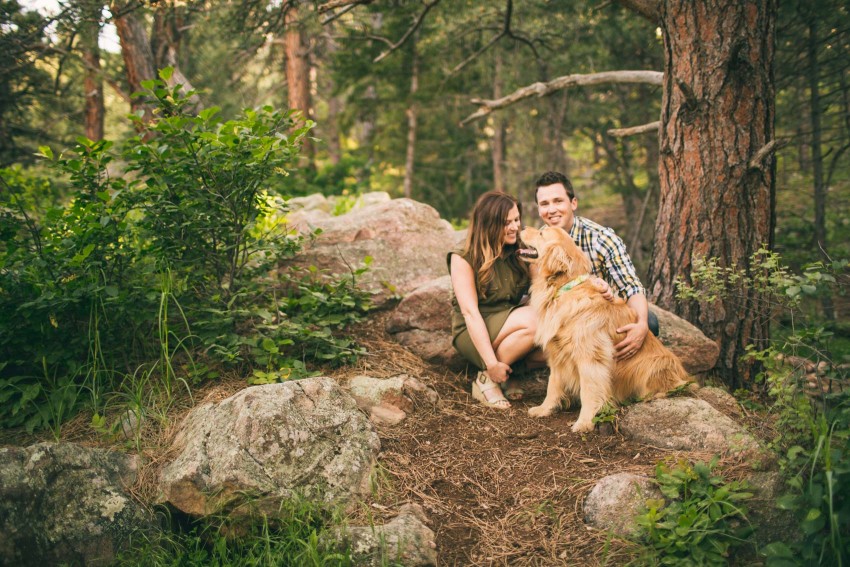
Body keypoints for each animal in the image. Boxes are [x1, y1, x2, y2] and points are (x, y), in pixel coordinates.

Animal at [516, 225, 688, 430]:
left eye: (542, 232)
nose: (523, 227)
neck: (566, 288)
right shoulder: (557, 352)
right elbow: (553, 384)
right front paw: (545, 409)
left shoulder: (590, 357)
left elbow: (589, 391)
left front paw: (584, 422)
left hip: (653, 364)